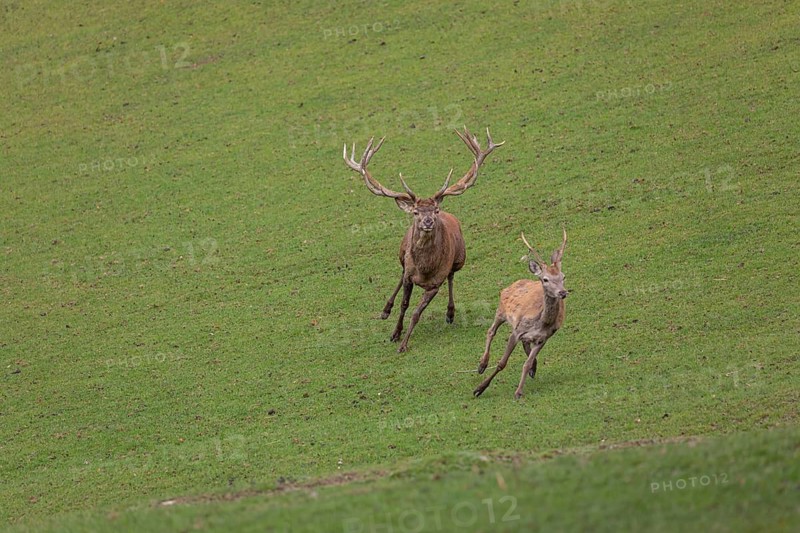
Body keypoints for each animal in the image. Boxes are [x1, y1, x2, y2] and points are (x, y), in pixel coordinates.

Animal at [344, 127, 504, 353]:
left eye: (435, 210)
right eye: (416, 212)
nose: (428, 221)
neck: (424, 269)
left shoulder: (434, 284)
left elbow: (417, 313)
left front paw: (403, 344)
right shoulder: (409, 276)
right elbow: (404, 304)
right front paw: (395, 333)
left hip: (460, 260)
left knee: (451, 277)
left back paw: (450, 313)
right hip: (401, 253)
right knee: (400, 274)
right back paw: (385, 309)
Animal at [473, 228, 568, 399]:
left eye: (563, 276)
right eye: (545, 279)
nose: (563, 292)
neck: (542, 322)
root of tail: (516, 282)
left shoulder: (543, 338)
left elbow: (527, 363)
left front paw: (518, 392)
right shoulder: (516, 331)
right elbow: (502, 363)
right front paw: (479, 388)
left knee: (526, 346)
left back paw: (533, 368)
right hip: (500, 311)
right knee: (491, 331)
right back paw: (482, 364)